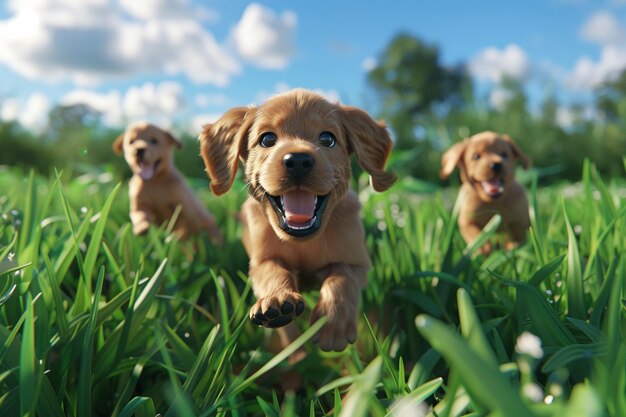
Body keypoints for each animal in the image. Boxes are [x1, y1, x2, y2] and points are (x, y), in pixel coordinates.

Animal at [199, 88, 394, 352]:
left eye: (327, 139)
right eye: (267, 140)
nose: (298, 160)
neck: (304, 241)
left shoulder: (356, 262)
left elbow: (342, 277)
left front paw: (332, 321)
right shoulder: (262, 259)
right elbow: (272, 270)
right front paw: (277, 300)